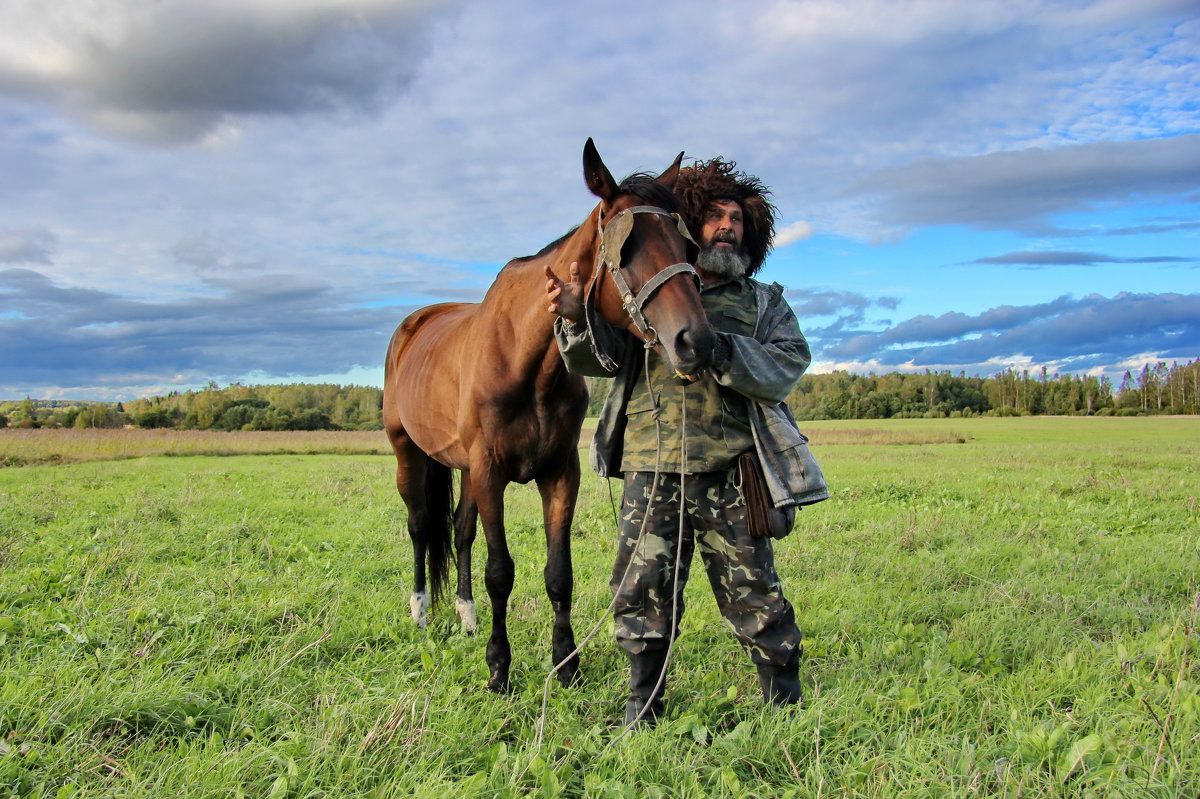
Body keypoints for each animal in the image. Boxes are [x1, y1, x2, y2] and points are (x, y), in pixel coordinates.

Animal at [384, 139, 710, 695]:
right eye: (628, 248)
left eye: (682, 243)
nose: (695, 340)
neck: (527, 360)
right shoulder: (491, 471)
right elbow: (500, 571)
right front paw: (499, 667)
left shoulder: (558, 472)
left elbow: (559, 573)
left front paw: (566, 663)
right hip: (408, 450)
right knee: (422, 524)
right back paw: (421, 609)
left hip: (464, 467)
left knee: (459, 529)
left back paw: (465, 615)